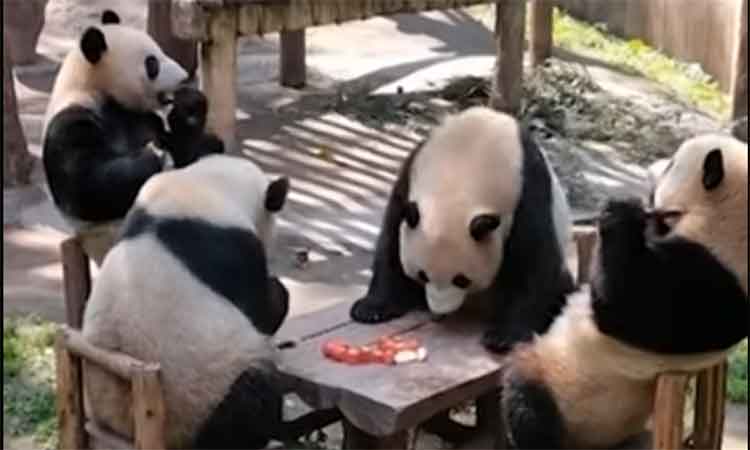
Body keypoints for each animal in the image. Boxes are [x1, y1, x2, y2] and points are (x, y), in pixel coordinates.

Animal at [352, 106, 576, 356]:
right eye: (422, 275)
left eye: (461, 280)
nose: (440, 310)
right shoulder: (411, 173)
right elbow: (391, 239)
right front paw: (371, 308)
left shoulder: (527, 191)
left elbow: (533, 261)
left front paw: (504, 336)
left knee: (561, 288)